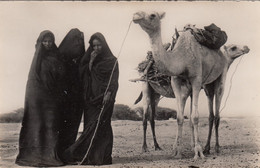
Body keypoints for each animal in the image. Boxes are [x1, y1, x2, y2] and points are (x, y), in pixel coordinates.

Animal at [133, 11, 249, 159]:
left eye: (152, 15)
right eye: (233, 47)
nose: (246, 48)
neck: (182, 58)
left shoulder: (195, 83)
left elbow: (191, 117)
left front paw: (193, 150)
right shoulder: (177, 82)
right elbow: (182, 117)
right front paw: (182, 150)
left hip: (214, 80)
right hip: (147, 87)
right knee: (146, 117)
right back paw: (146, 147)